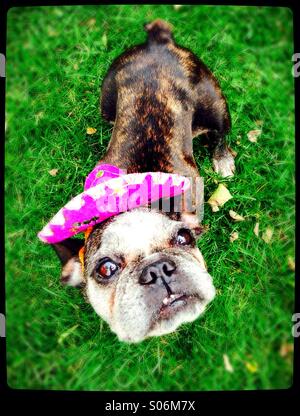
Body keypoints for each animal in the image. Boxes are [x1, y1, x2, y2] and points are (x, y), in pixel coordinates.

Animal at [51, 19, 234, 342]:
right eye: (106, 269)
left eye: (183, 238)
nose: (158, 269)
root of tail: (157, 41)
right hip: (107, 101)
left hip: (215, 105)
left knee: (221, 133)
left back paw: (223, 160)